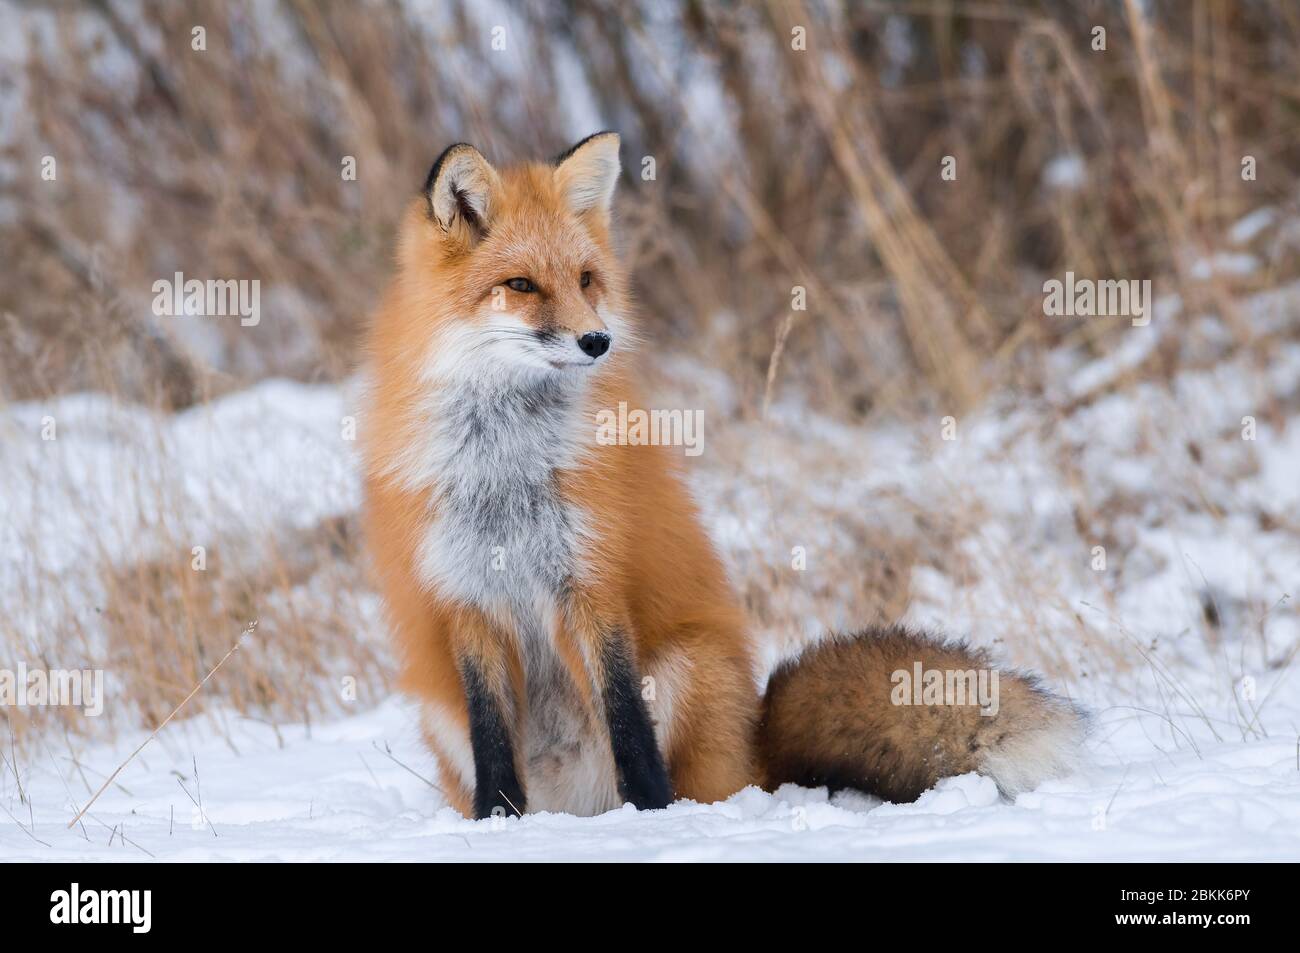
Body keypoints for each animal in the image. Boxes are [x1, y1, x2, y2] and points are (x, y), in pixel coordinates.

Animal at [361, 133, 1081, 816]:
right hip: (440, 713)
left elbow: (628, 723)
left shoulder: (593, 581)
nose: (598, 342)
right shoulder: (465, 597)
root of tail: (754, 742)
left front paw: (653, 816)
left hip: (687, 667)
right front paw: (499, 822)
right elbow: (492, 739)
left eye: (587, 279)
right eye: (521, 285)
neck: (506, 467)